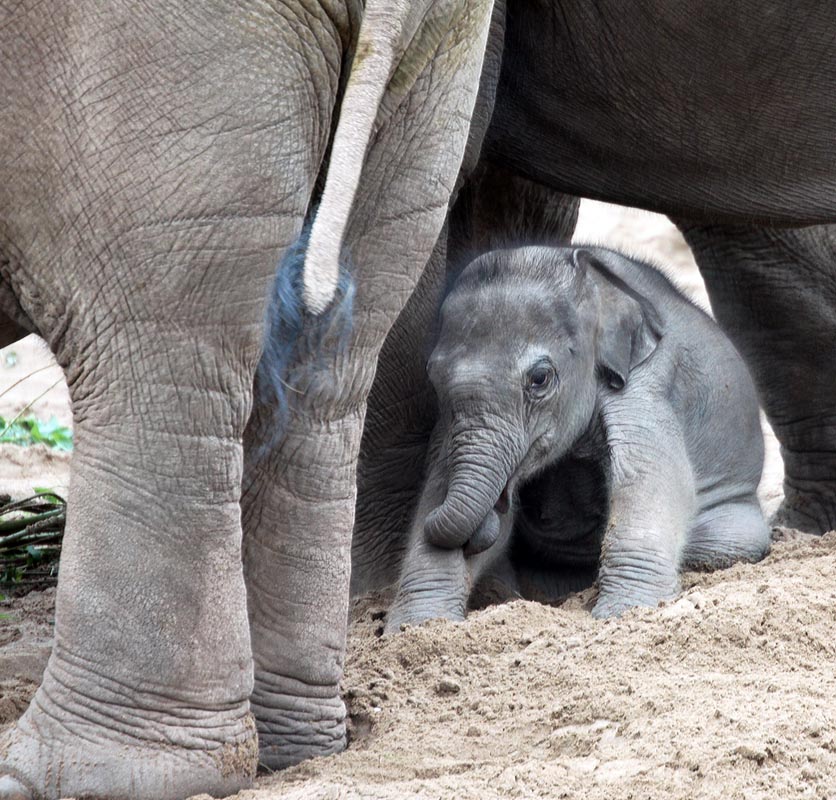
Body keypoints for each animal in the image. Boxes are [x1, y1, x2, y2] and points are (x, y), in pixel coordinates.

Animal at [383, 244, 770, 628]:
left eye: (539, 378)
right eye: (434, 378)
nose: (501, 500)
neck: (592, 277)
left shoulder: (645, 380)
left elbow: (647, 476)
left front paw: (623, 612)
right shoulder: (448, 424)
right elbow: (436, 486)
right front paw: (418, 626)